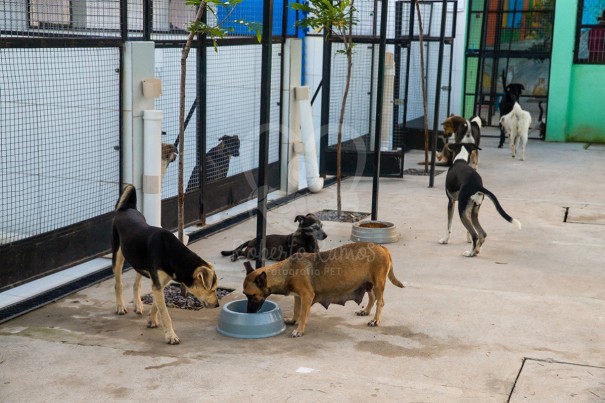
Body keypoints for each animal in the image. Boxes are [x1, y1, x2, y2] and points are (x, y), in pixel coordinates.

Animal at [111, 185, 219, 346]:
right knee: (118, 283)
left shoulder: (160, 283)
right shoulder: (157, 284)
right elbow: (165, 314)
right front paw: (171, 336)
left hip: (140, 261)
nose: (218, 305)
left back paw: (138, 305)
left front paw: (151, 320)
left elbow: (156, 305)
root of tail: (127, 208)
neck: (171, 254)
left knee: (137, 283)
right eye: (212, 289)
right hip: (118, 254)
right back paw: (120, 306)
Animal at [239, 243, 402, 338]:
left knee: (380, 301)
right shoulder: (298, 297)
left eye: (251, 295)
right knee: (373, 297)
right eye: (245, 295)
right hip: (368, 283)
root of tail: (382, 247)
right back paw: (366, 311)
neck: (287, 270)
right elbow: (296, 310)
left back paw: (375, 320)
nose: (248, 313)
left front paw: (299, 330)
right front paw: (293, 320)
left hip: (378, 283)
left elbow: (303, 315)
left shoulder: (306, 296)